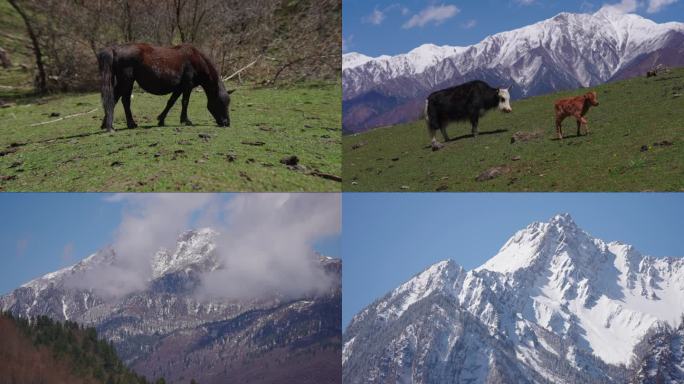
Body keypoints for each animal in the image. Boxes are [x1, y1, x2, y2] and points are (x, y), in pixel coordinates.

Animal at [96, 43, 234, 131]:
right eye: (220, 103)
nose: (226, 123)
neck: (196, 60)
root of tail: (115, 49)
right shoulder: (187, 86)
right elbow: (185, 102)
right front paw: (185, 120)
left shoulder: (179, 88)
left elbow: (171, 102)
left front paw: (161, 120)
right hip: (127, 81)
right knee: (123, 100)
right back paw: (127, 124)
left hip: (126, 82)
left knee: (115, 99)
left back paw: (107, 124)